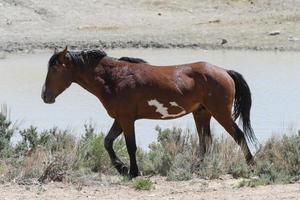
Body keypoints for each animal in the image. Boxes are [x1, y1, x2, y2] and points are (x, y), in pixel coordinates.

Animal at [42, 47, 258, 178]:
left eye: (54, 69)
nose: (45, 96)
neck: (114, 78)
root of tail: (224, 71)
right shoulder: (120, 119)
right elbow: (108, 142)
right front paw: (122, 168)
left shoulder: (127, 119)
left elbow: (131, 146)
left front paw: (133, 172)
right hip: (202, 113)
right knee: (205, 142)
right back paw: (194, 169)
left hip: (220, 113)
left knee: (238, 136)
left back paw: (252, 166)